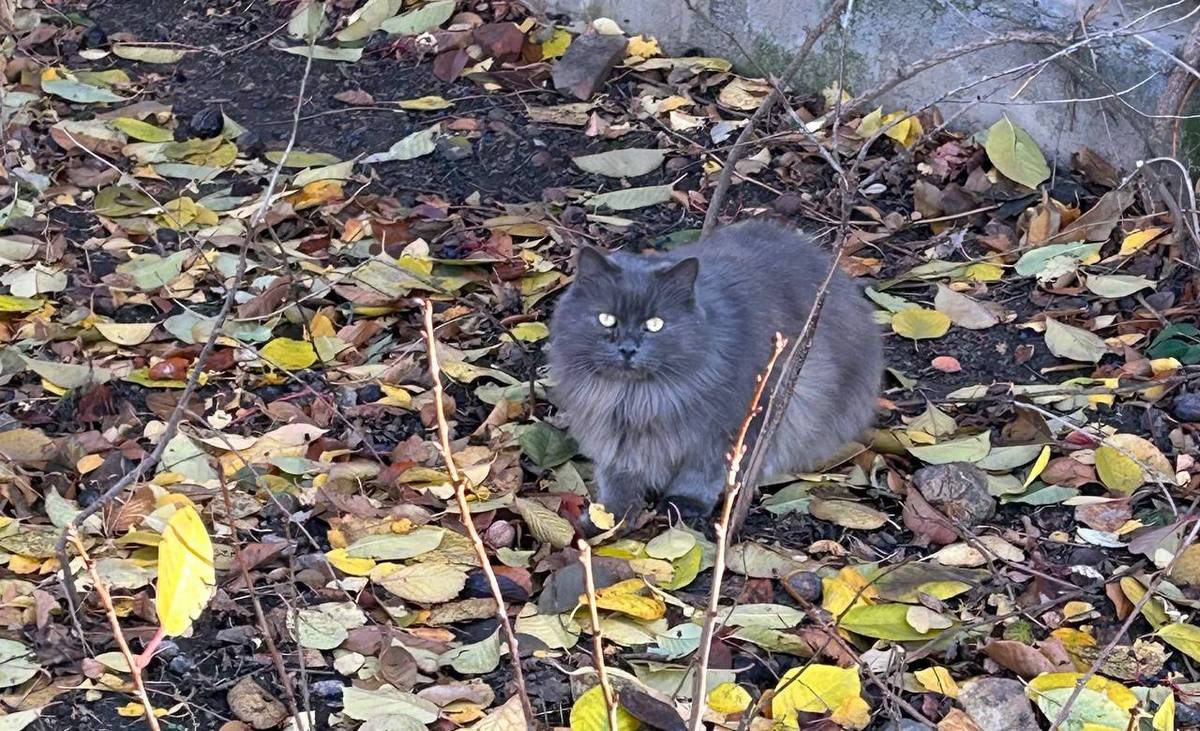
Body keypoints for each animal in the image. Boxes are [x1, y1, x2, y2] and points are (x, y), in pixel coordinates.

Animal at [547, 218, 883, 518]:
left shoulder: (729, 428)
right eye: (607, 319)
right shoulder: (614, 438)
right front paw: (607, 518)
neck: (636, 400)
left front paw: (683, 504)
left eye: (655, 324)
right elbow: (618, 481)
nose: (628, 349)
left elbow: (703, 473)